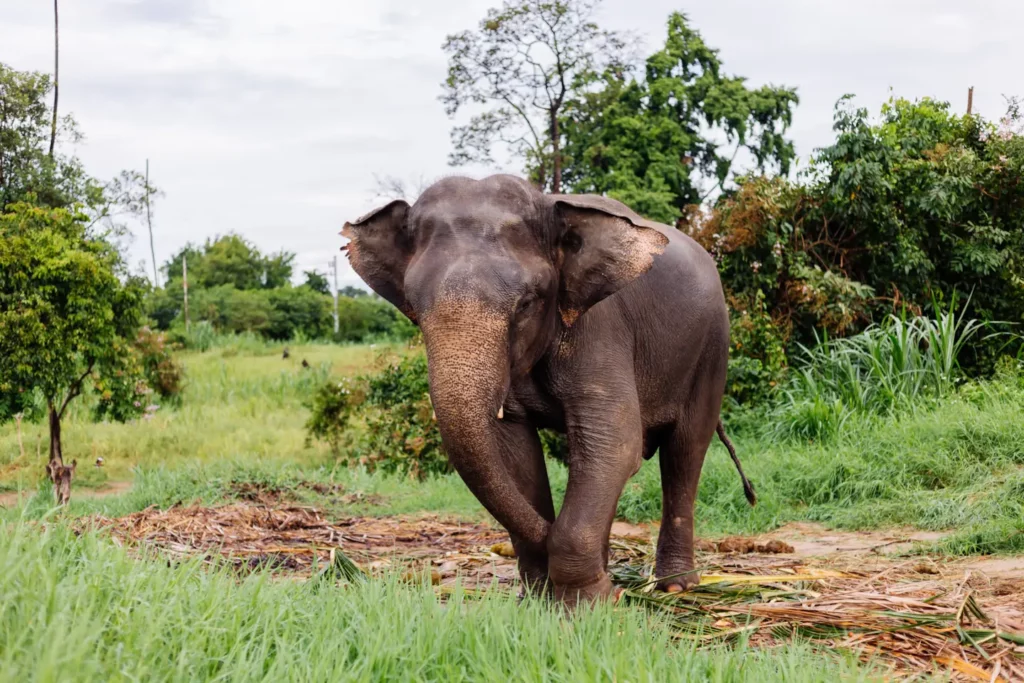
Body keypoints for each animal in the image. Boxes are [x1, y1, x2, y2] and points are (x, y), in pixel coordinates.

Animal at [342, 174, 753, 606]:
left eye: (526, 304)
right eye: (415, 308)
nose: (548, 535)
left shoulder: (599, 327)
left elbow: (614, 443)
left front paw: (591, 603)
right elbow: (514, 451)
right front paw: (542, 598)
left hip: (712, 348)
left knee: (685, 450)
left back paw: (675, 586)